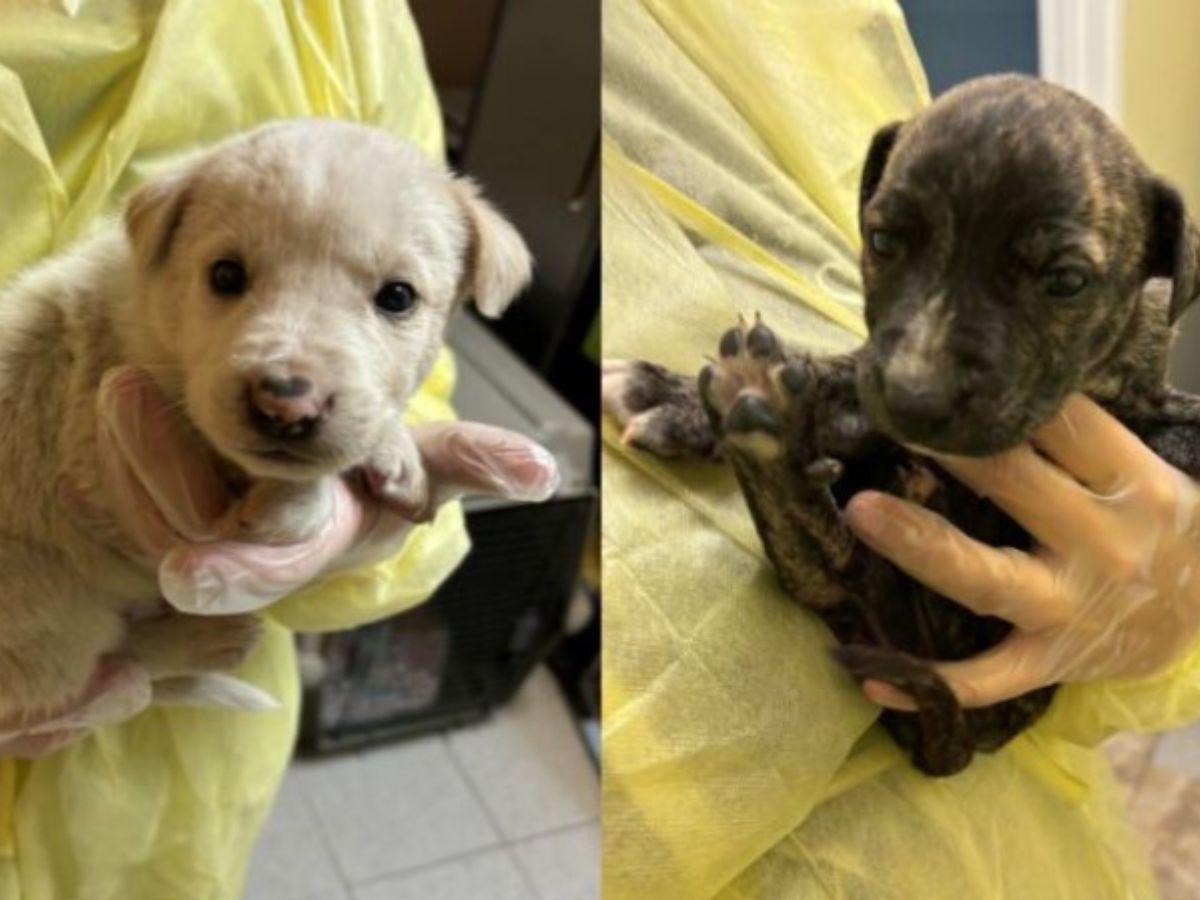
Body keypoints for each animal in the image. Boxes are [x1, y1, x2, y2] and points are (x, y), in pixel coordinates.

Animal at [0, 118, 530, 724]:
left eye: (398, 296)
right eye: (226, 275)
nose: (285, 404)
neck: (154, 321)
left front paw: (394, 452)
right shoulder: (93, 437)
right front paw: (294, 505)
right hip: (48, 602)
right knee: (111, 671)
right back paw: (198, 642)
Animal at [604, 74, 1200, 777]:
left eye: (1066, 280)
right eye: (883, 241)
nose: (916, 399)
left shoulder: (1139, 413)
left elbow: (1169, 428)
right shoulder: (872, 382)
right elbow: (839, 385)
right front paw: (672, 397)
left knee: (838, 564)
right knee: (824, 566)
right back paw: (755, 412)